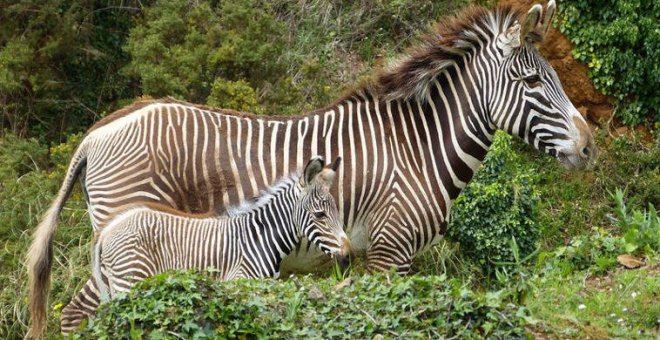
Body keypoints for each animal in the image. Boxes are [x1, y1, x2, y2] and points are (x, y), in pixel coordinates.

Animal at [28, 1, 592, 338]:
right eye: (531, 82)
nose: (589, 148)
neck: (415, 147)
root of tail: (99, 130)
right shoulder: (389, 253)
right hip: (127, 243)